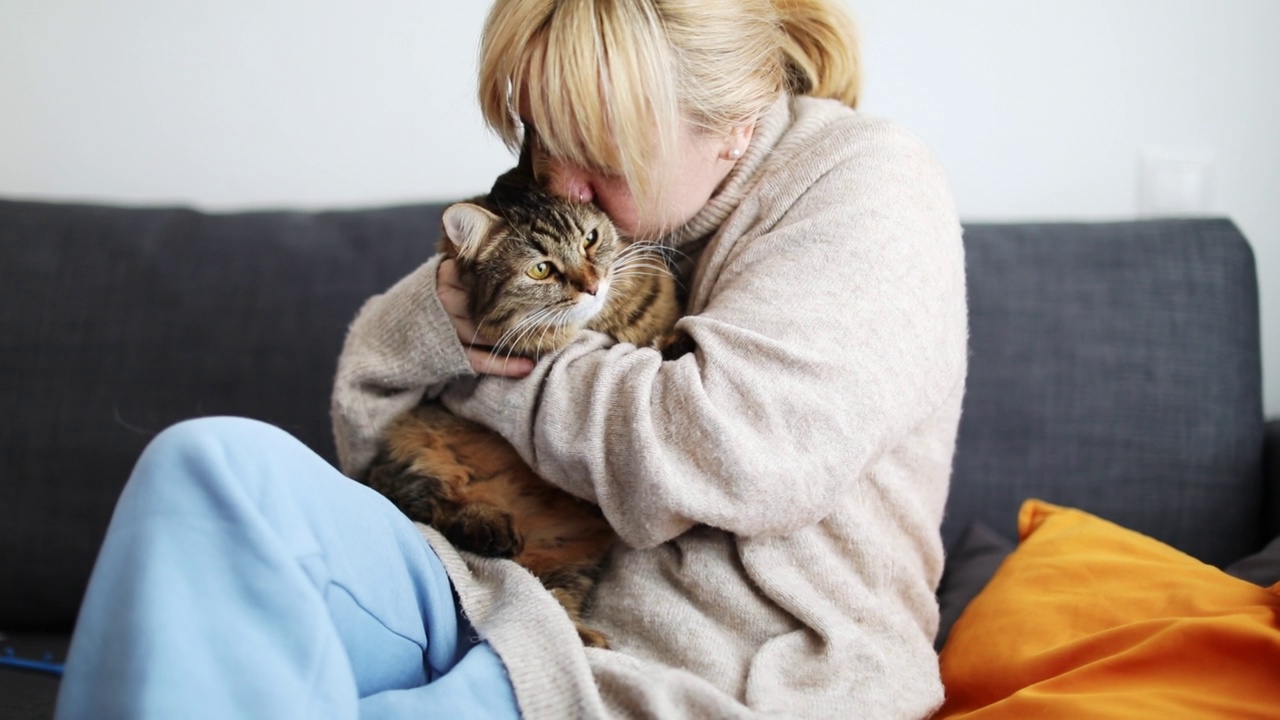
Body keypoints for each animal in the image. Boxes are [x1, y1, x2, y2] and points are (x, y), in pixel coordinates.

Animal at [366, 155, 686, 645]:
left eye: (590, 239)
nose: (593, 285)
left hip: (571, 560)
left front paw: (671, 341)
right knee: (427, 504)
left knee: (554, 602)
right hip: (413, 445)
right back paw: (488, 529)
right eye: (541, 269)